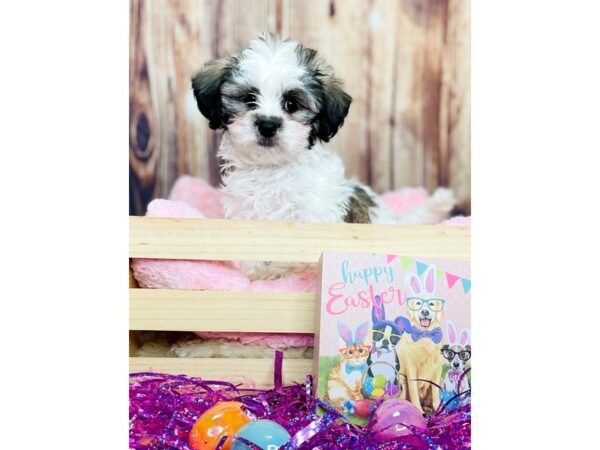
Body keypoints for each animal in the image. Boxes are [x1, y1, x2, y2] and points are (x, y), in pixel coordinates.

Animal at [192, 35, 454, 280]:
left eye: (291, 103)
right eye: (249, 99)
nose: (267, 125)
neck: (272, 170)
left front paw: (273, 270)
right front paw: (257, 271)